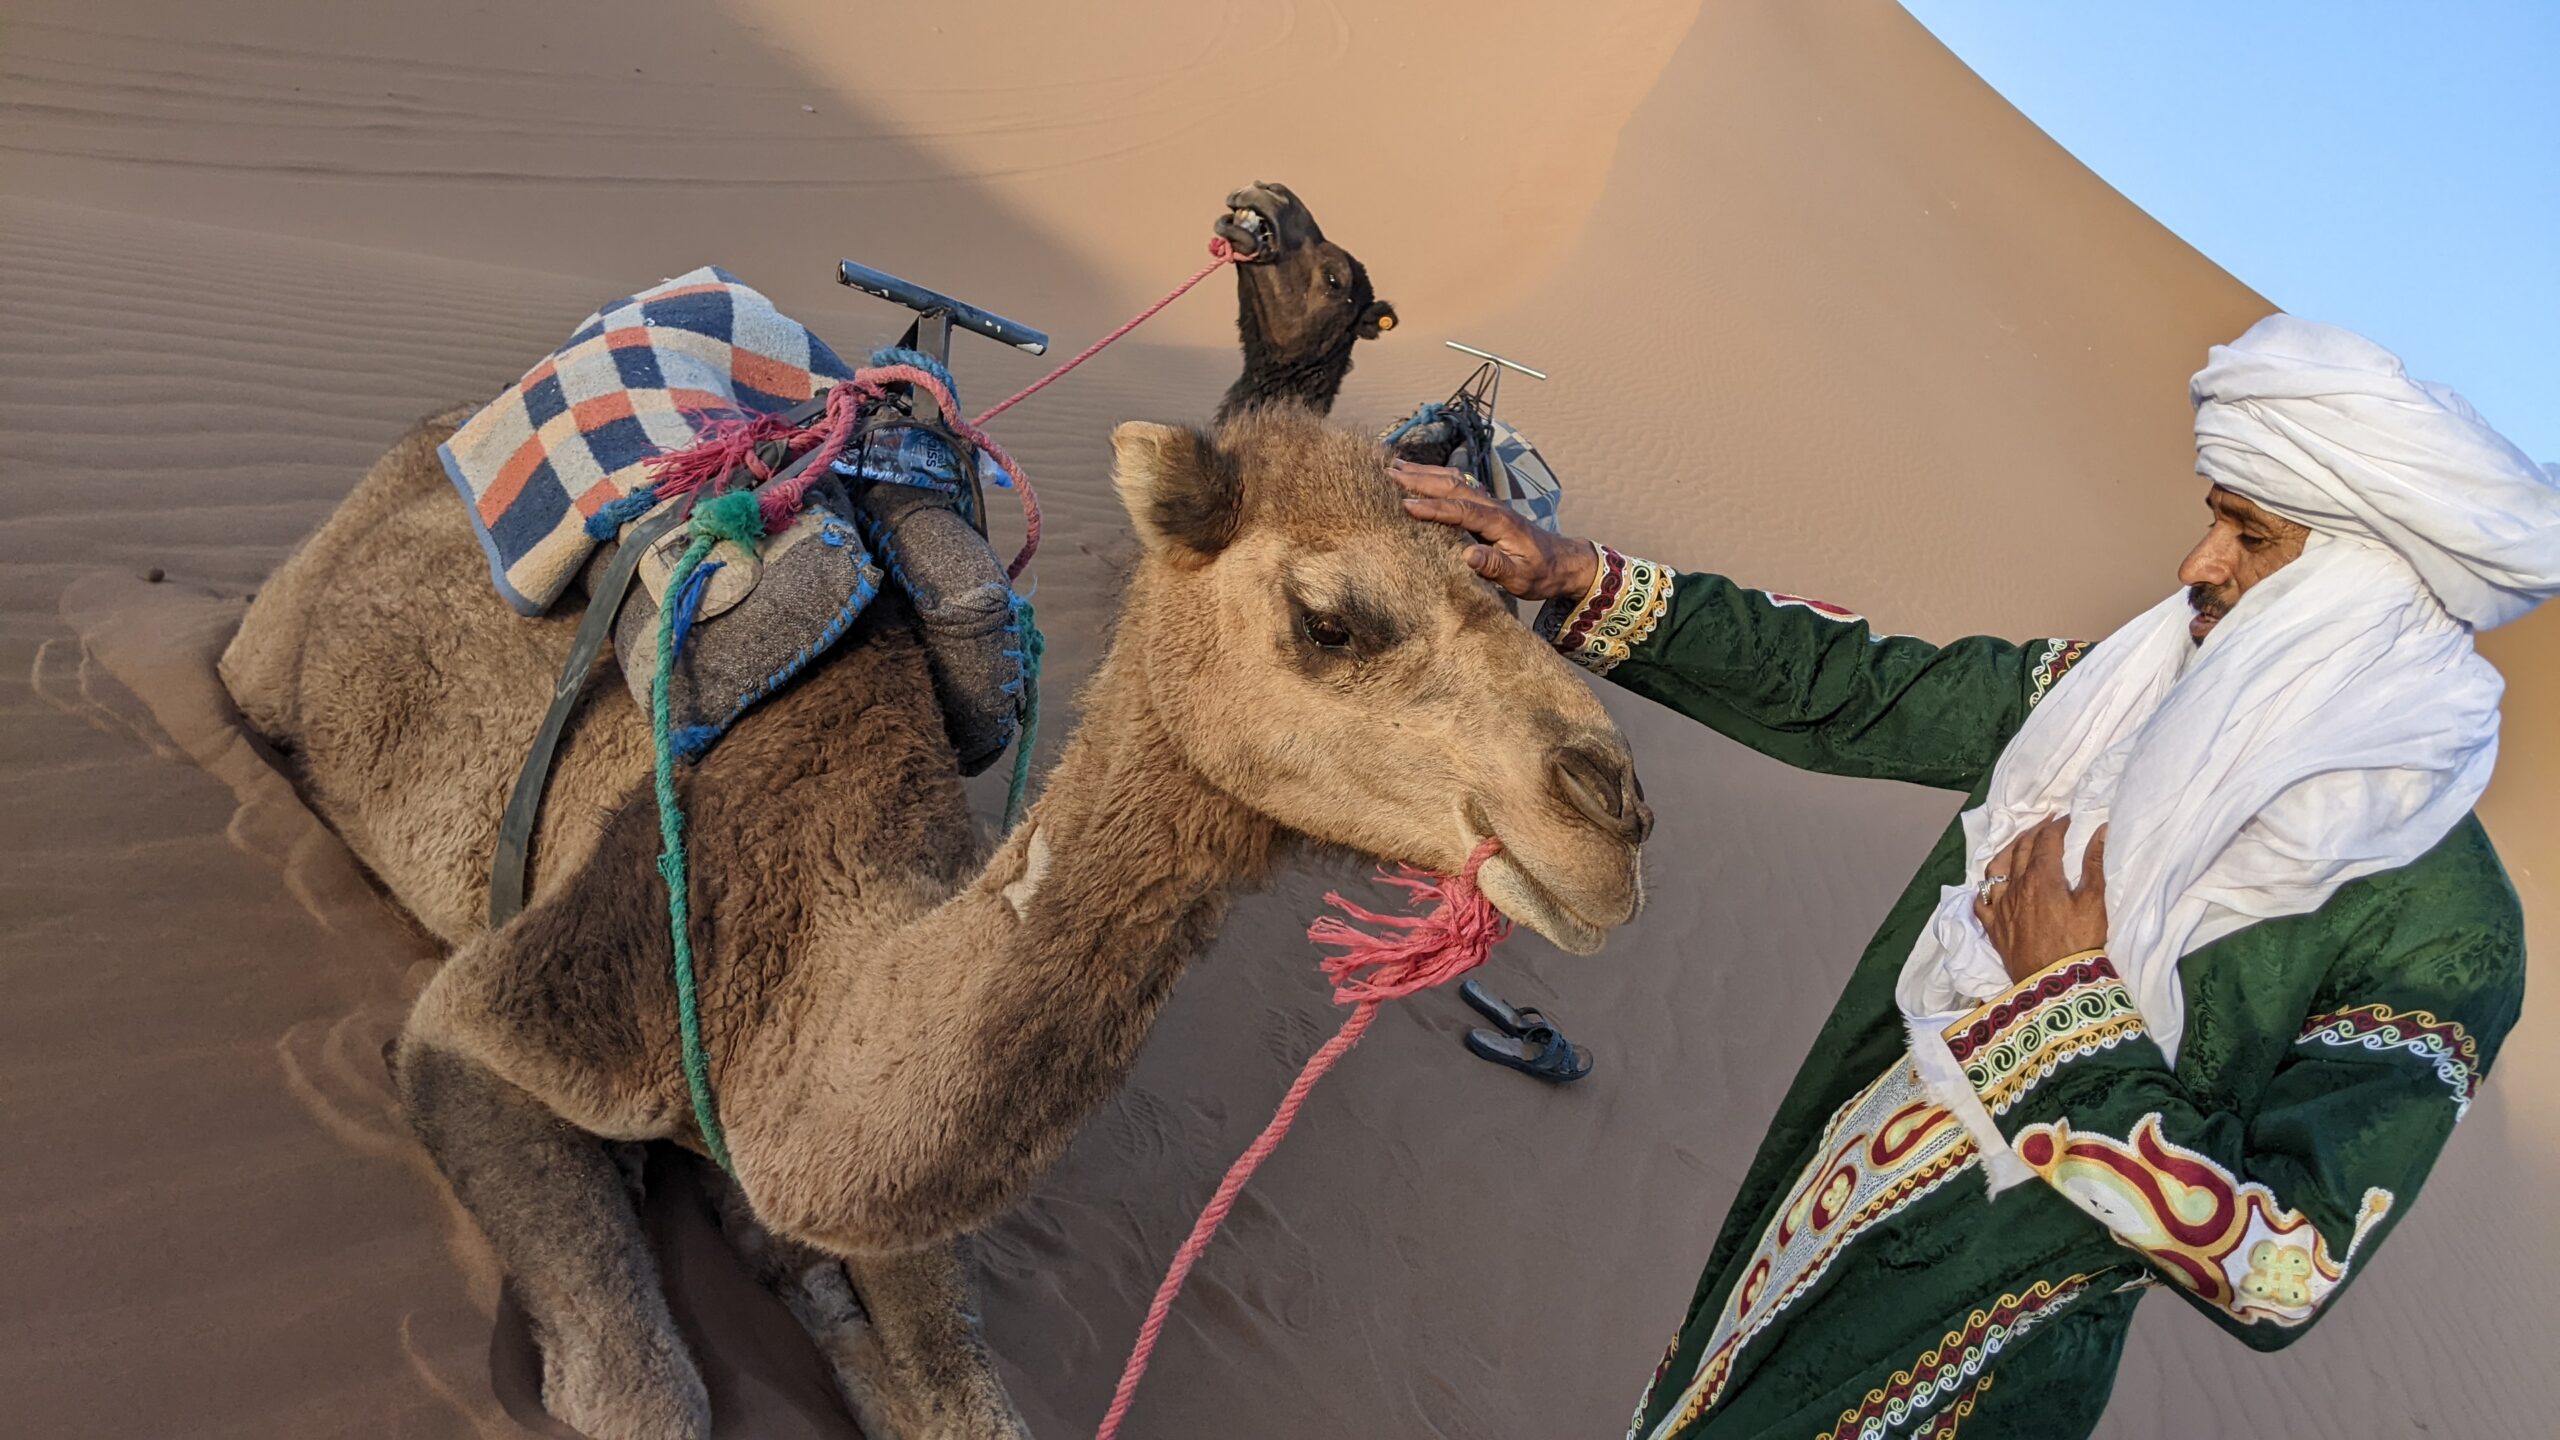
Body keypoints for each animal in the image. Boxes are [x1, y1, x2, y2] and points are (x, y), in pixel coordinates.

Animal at [218, 188, 1644, 1440]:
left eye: (1506, 585)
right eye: (1328, 619)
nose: (1615, 815)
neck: (808, 978)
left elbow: (952, 1389)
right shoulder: (499, 1024)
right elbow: (645, 1395)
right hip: (286, 630)